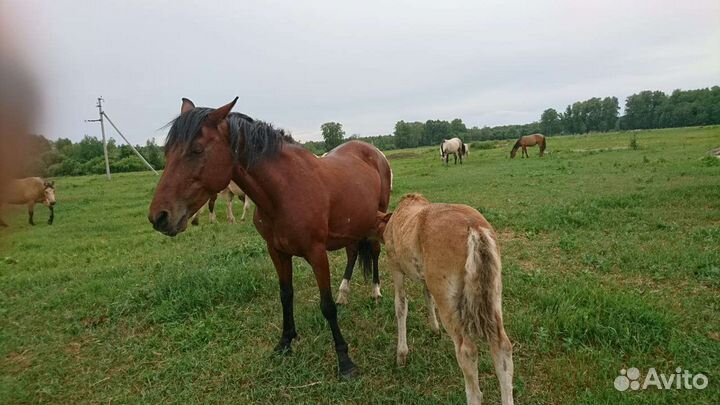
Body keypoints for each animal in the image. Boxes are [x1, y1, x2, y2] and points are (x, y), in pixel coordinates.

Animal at [148, 98, 393, 378]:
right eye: (167, 152)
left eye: (196, 150)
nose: (159, 217)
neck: (285, 191)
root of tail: (372, 151)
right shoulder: (276, 251)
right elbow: (286, 295)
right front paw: (285, 343)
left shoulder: (316, 253)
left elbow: (327, 305)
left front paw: (345, 360)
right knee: (352, 253)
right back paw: (344, 292)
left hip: (378, 217)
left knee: (374, 252)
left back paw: (375, 291)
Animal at [375, 193, 514, 405]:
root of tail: (474, 229)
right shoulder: (425, 278)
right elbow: (427, 296)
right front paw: (434, 329)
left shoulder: (395, 267)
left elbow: (401, 306)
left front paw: (401, 354)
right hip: (494, 295)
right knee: (502, 347)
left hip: (448, 301)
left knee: (467, 351)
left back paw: (473, 394)